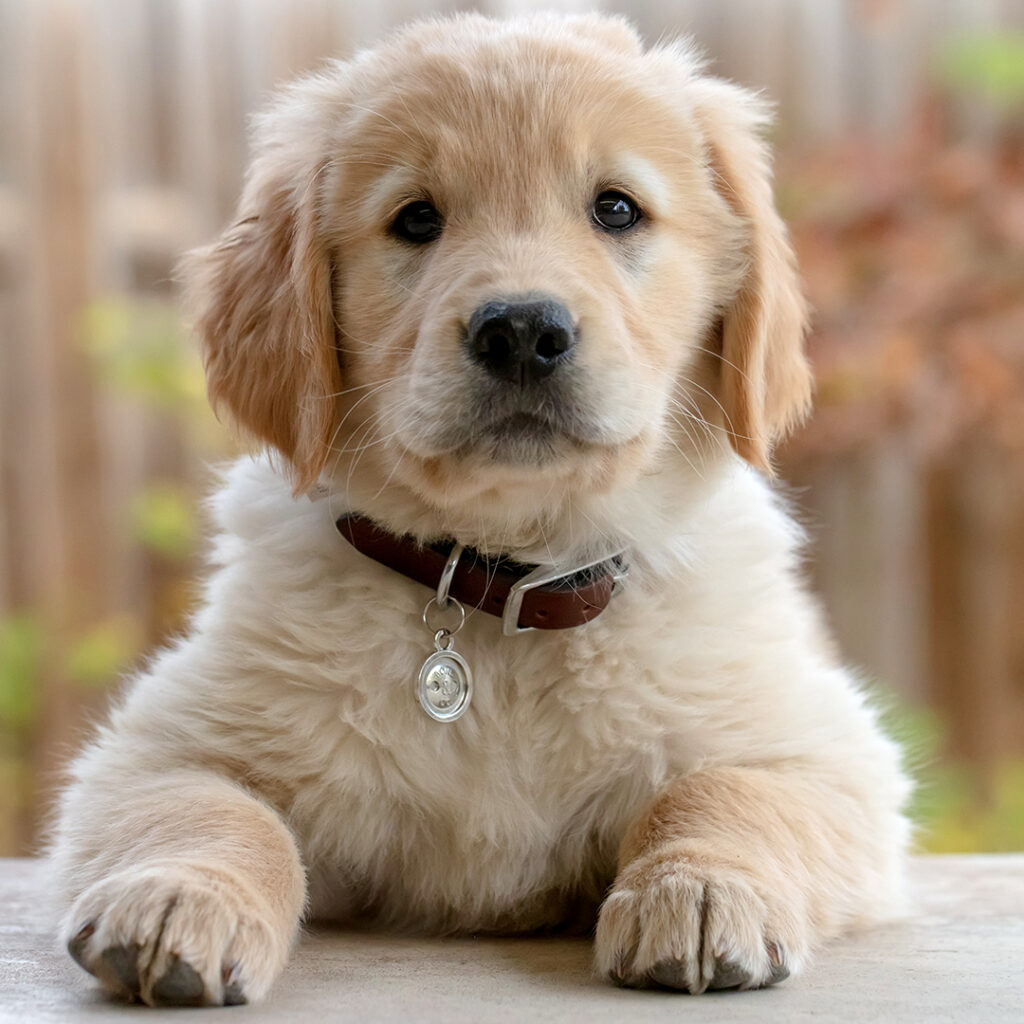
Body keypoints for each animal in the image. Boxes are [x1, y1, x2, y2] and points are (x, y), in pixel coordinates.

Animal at [51, 14, 909, 1007]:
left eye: (617, 209)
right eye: (416, 219)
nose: (524, 332)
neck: (503, 588)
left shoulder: (823, 749)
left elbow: (723, 792)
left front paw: (699, 889)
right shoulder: (155, 747)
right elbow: (213, 810)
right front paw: (178, 896)